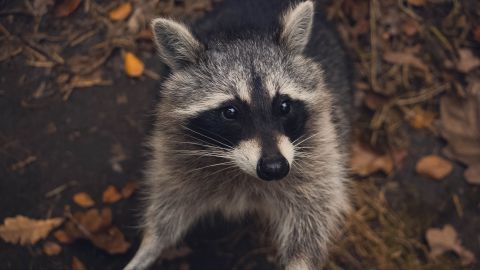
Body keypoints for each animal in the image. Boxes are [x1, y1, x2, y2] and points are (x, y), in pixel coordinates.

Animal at [124, 0, 352, 270]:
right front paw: (150, 245)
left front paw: (300, 260)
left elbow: (314, 210)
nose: (274, 168)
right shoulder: (175, 147)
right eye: (230, 112)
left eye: (284, 106)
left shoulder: (320, 144)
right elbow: (168, 201)